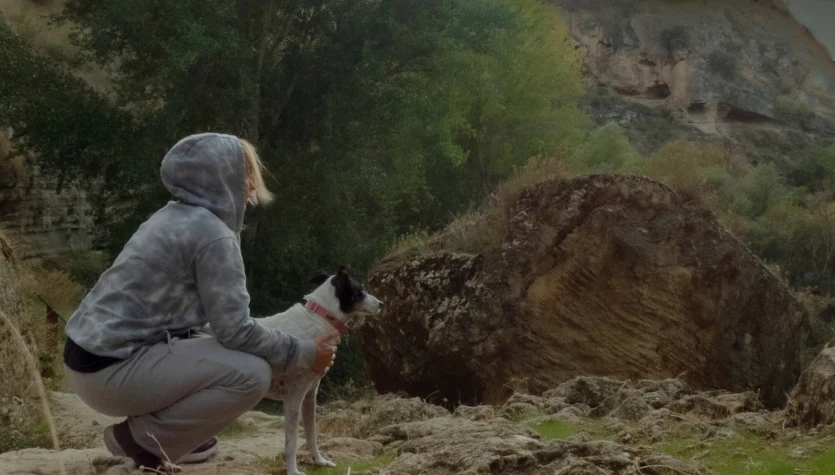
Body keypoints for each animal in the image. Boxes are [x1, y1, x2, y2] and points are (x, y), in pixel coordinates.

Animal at [242, 267, 381, 475]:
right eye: (359, 292)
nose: (381, 304)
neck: (321, 318)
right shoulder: (294, 398)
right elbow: (291, 443)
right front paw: (293, 470)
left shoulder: (310, 394)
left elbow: (311, 434)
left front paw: (319, 460)